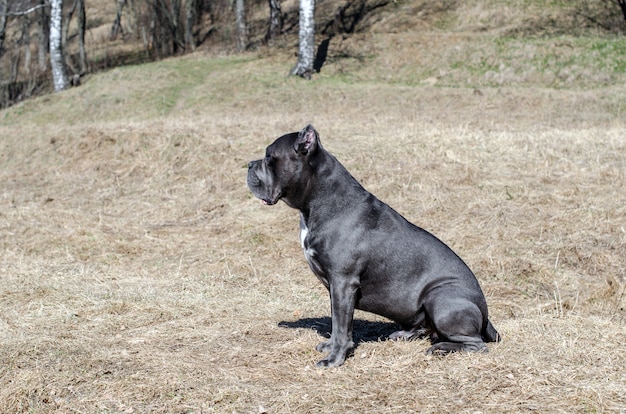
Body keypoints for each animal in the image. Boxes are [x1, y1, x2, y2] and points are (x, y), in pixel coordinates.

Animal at [245, 124, 498, 368]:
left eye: (269, 157)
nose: (248, 164)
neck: (318, 200)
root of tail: (486, 317)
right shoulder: (337, 288)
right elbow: (339, 323)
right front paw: (330, 347)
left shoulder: (343, 282)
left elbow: (341, 327)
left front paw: (333, 360)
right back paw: (404, 335)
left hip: (441, 297)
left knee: (476, 344)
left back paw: (440, 348)